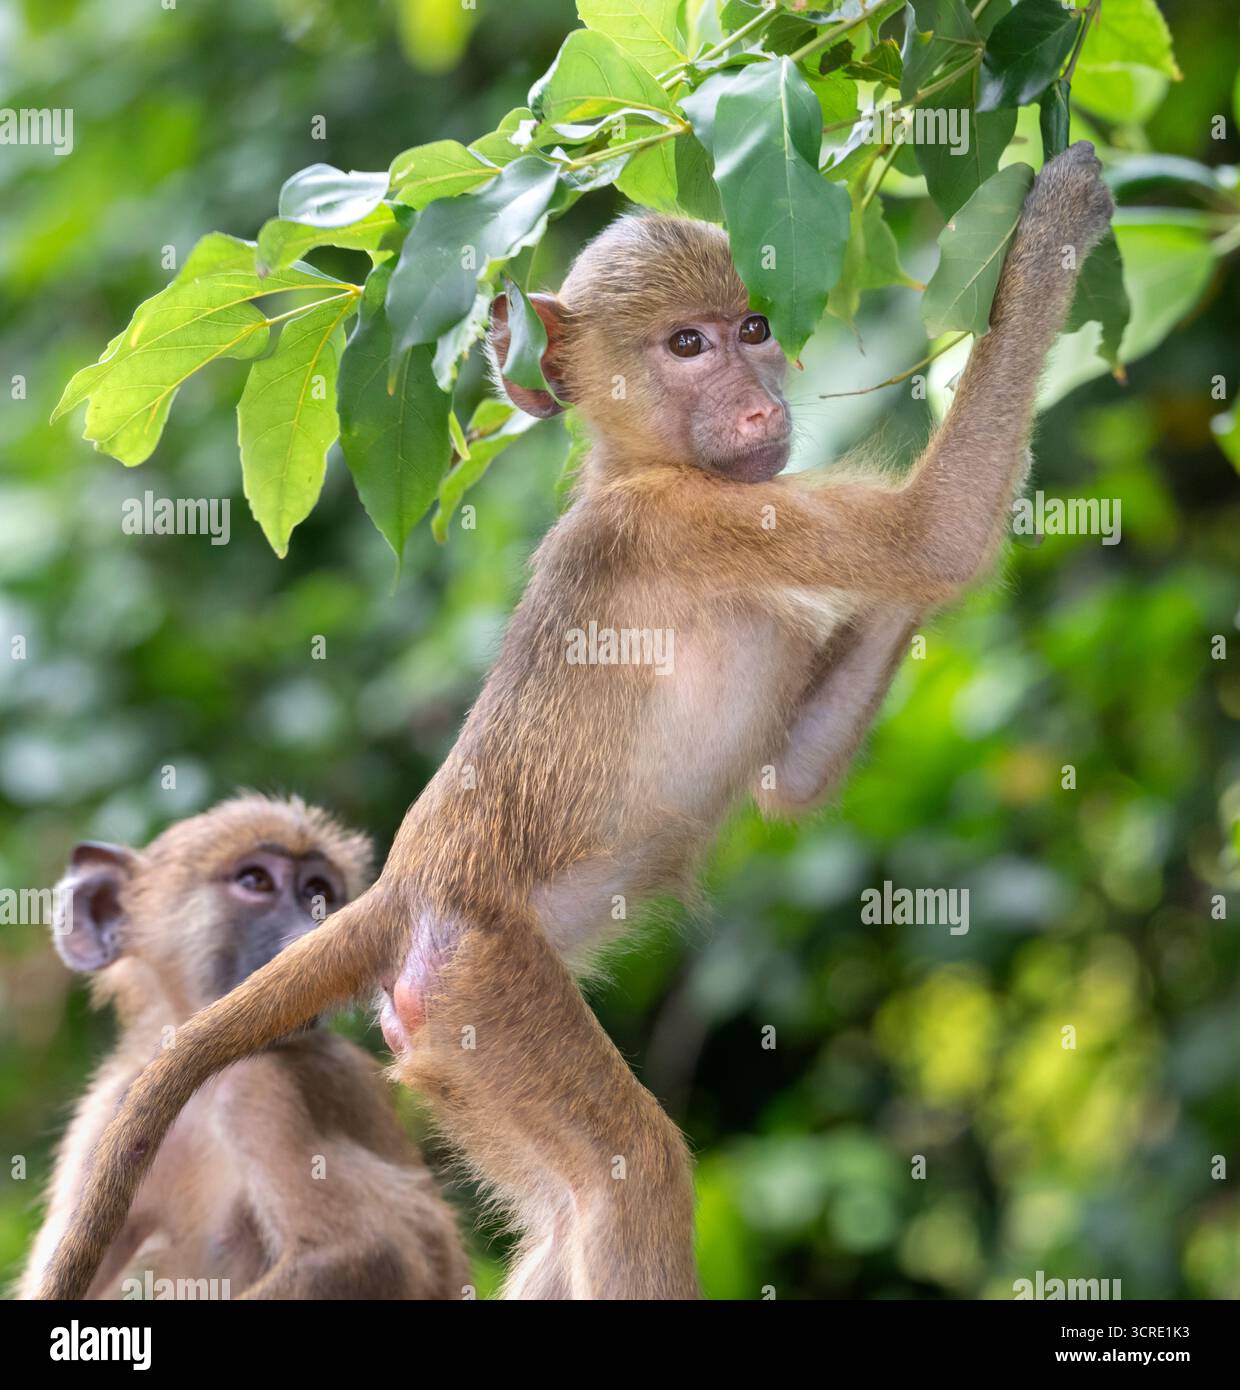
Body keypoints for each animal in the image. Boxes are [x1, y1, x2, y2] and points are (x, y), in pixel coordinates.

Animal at [17, 795, 467, 1300]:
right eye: (255, 881)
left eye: (318, 891)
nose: (311, 933)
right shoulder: (104, 1112)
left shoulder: (260, 1086)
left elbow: (372, 1253)